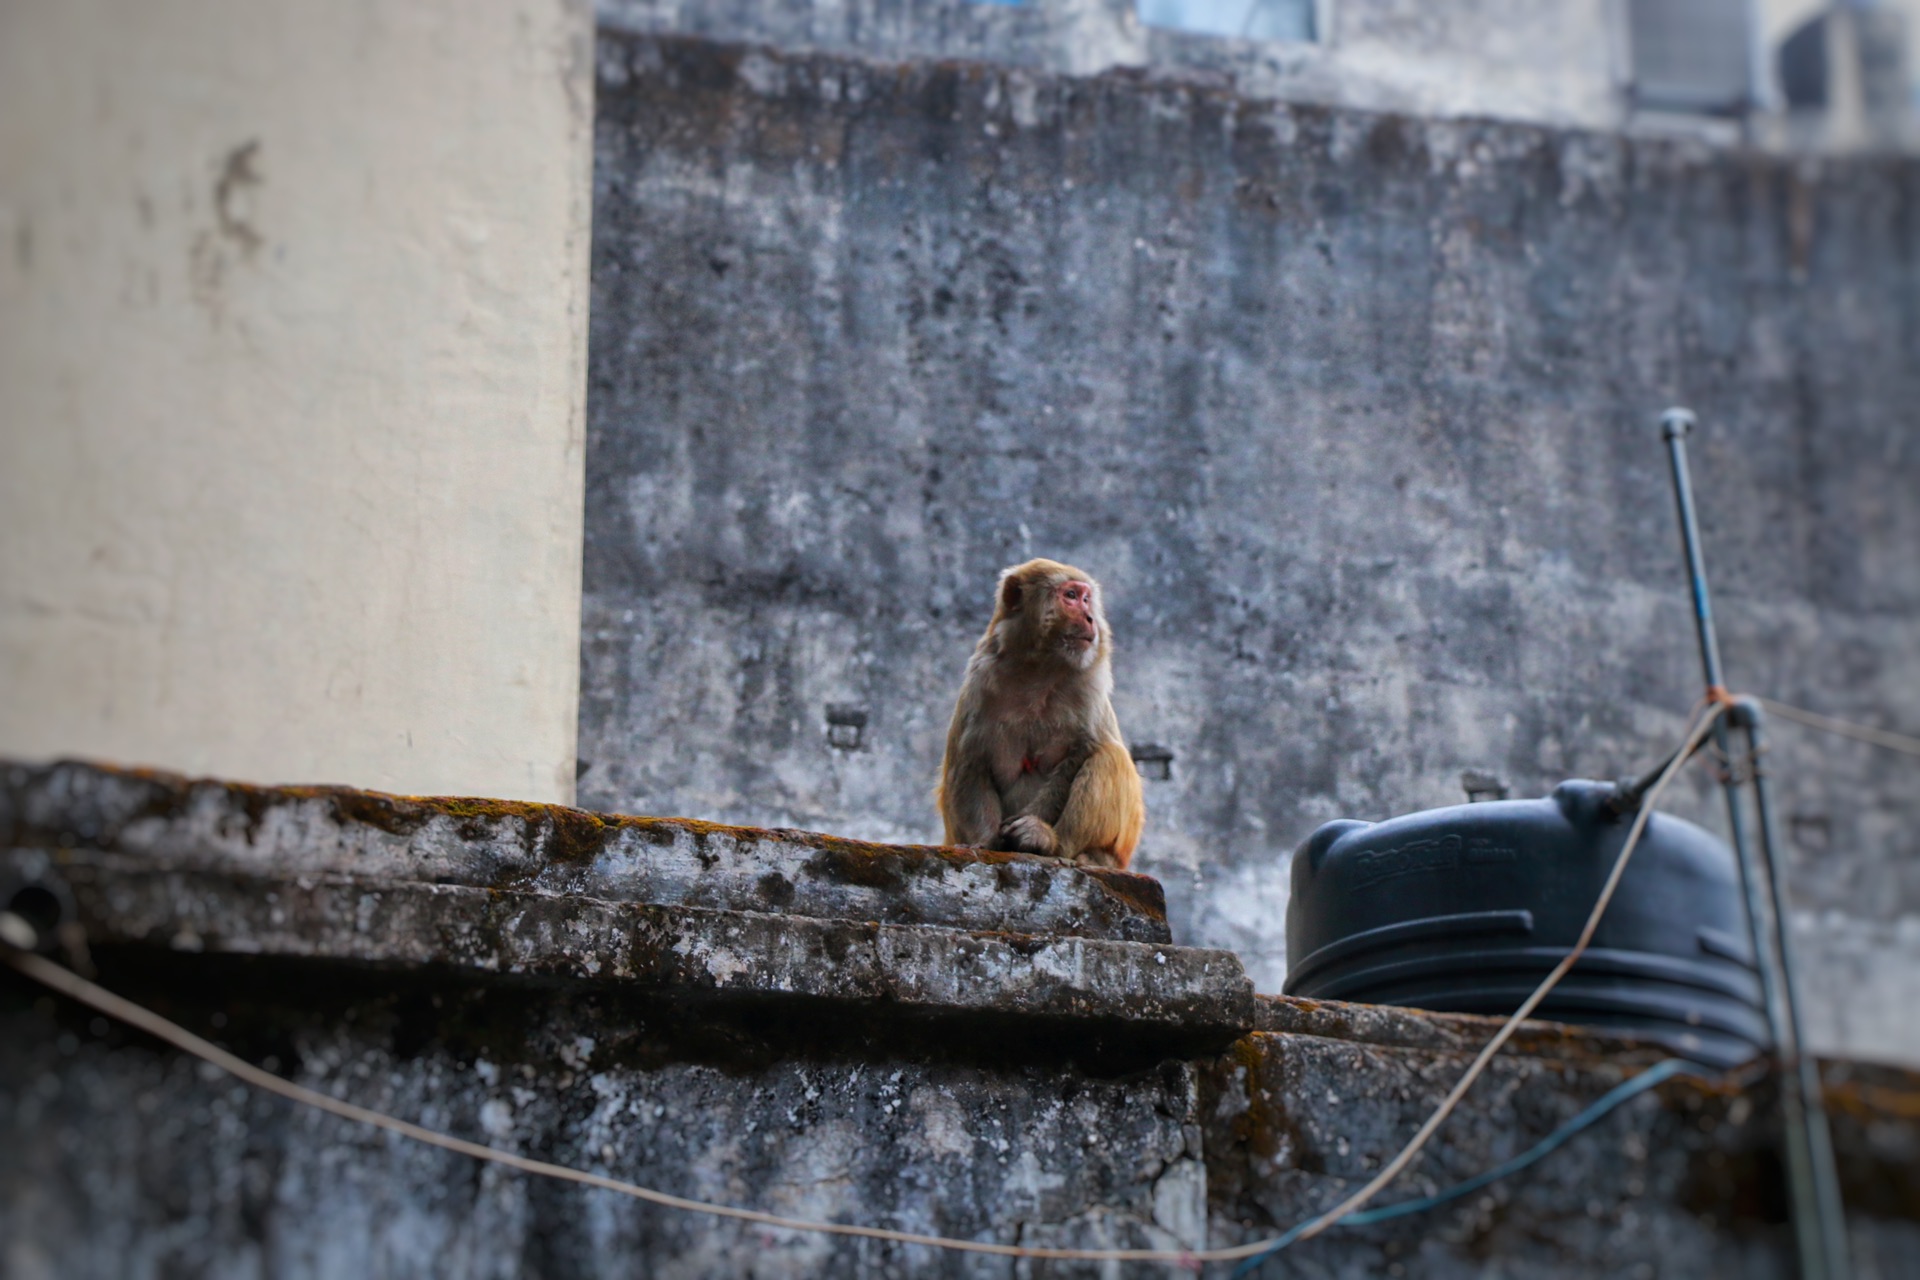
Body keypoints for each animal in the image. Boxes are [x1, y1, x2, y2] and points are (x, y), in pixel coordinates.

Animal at [940, 556, 1144, 871]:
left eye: (1087, 599)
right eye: (1071, 596)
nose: (1090, 618)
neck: (1040, 670)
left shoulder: (1090, 690)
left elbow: (1080, 754)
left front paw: (1035, 833)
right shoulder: (980, 682)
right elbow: (970, 762)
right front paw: (985, 842)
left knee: (1109, 756)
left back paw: (1054, 844)